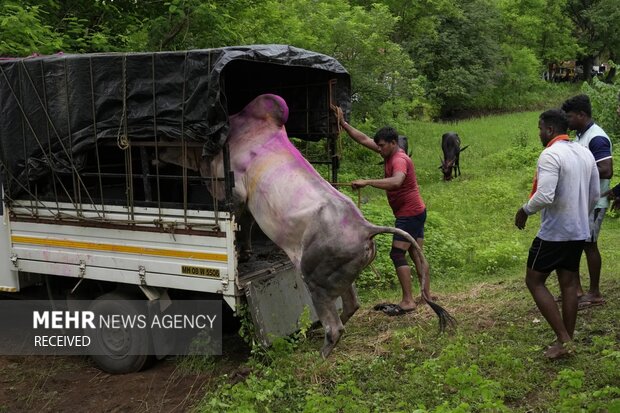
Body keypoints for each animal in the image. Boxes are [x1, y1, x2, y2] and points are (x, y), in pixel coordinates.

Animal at [165, 95, 456, 356]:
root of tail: (366, 229)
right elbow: (245, 225)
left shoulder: (235, 193)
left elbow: (238, 219)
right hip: (341, 275)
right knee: (351, 305)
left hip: (314, 275)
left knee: (335, 324)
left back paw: (321, 353)